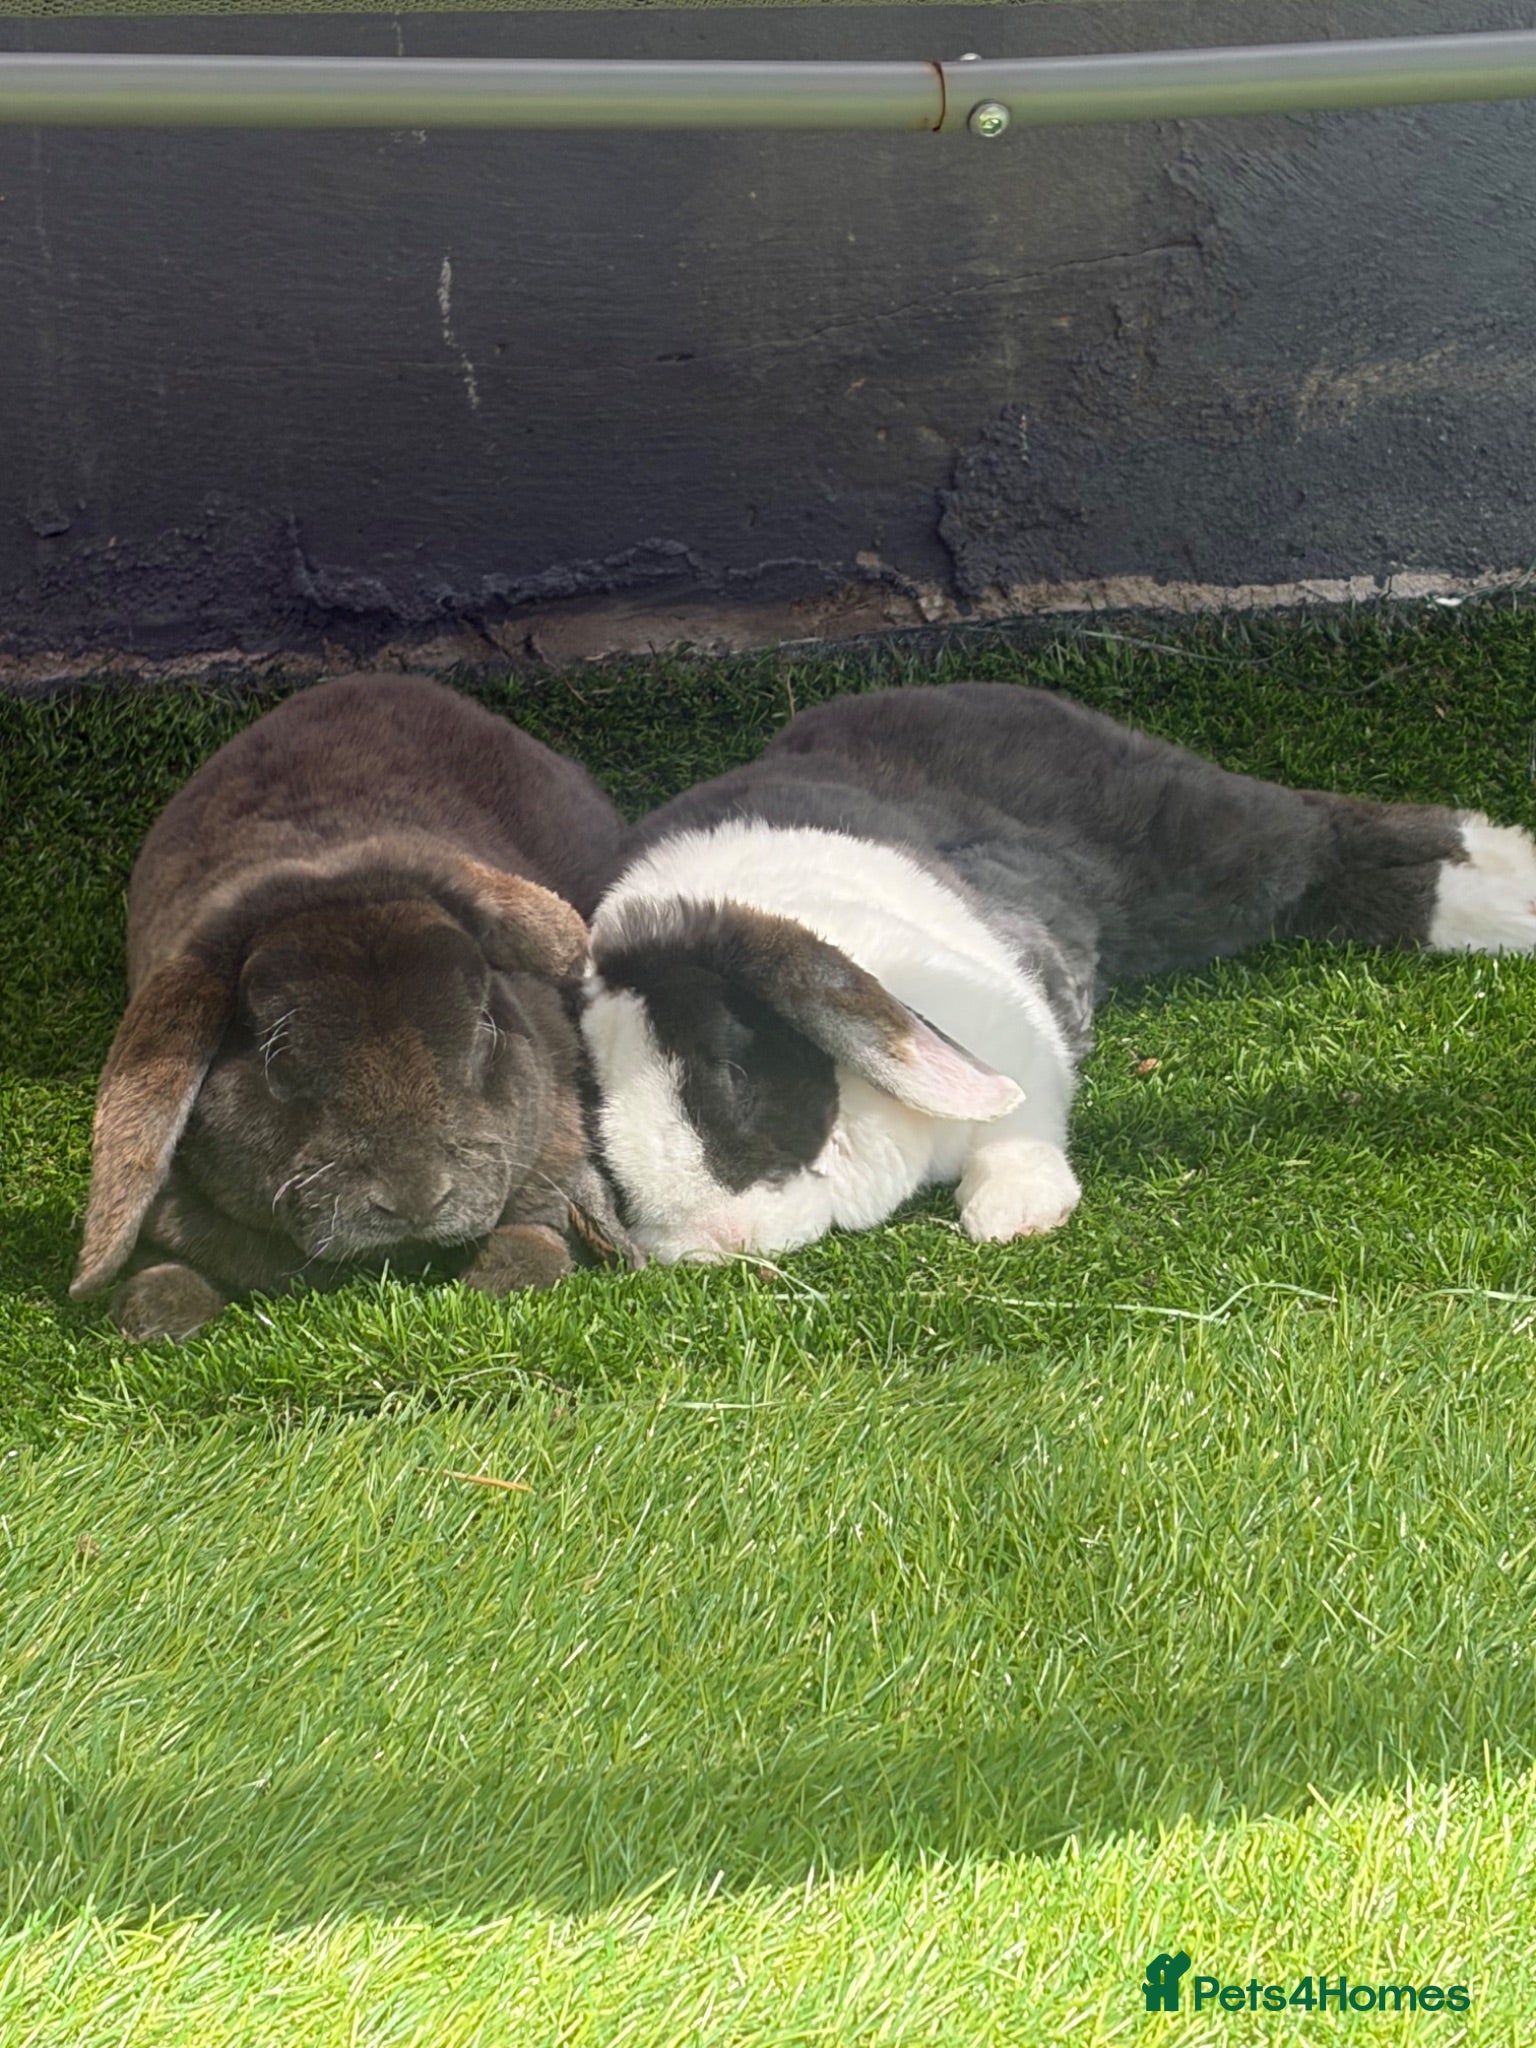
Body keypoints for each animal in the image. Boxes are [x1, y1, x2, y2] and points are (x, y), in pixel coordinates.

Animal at [71, 672, 639, 1341]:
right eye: (276, 1061)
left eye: (482, 1027)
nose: (417, 1200)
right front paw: (157, 1308)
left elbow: (539, 1226)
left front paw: (505, 1273)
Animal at [581, 681, 1536, 1264]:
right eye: (599, 1137)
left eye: (732, 1073)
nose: (713, 1242)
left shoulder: (1013, 1027)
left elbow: (1021, 1121)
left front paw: (1015, 1216)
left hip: (1195, 852)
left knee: (1325, 831)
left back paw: (1512, 883)